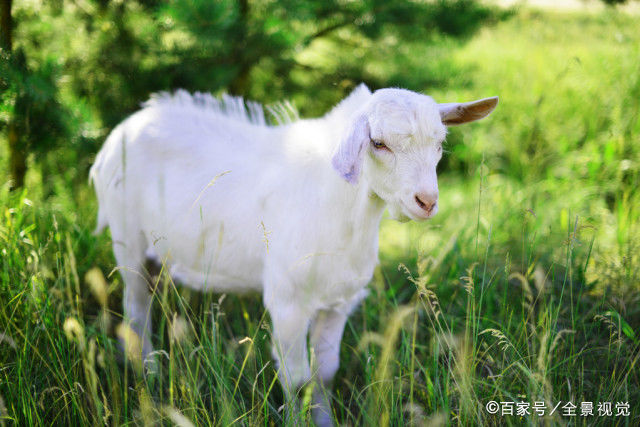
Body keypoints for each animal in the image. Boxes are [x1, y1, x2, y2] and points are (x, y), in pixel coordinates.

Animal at [90, 85, 498, 426]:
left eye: (440, 144)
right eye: (378, 143)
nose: (426, 201)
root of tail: (122, 130)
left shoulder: (339, 303)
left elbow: (324, 374)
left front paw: (324, 421)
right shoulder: (287, 302)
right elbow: (297, 378)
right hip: (126, 240)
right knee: (136, 312)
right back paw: (149, 378)